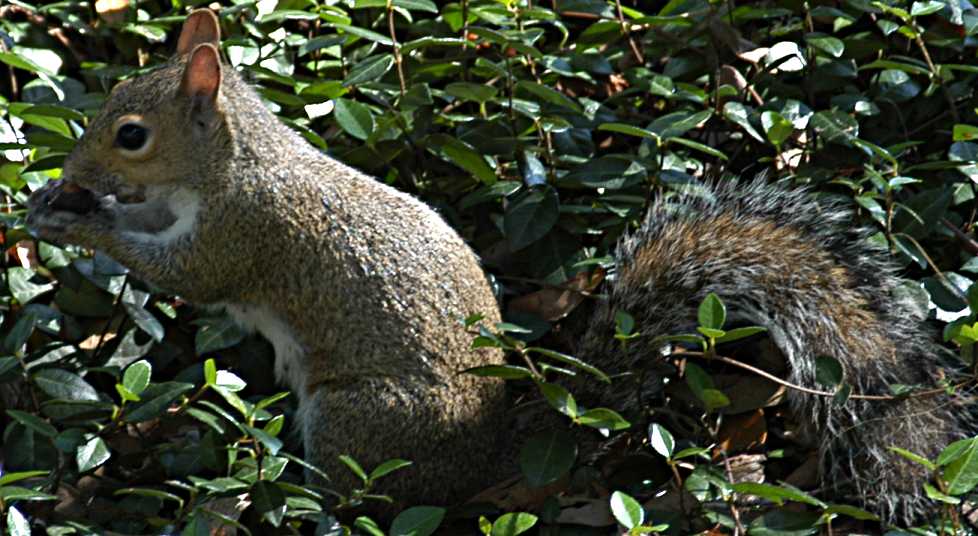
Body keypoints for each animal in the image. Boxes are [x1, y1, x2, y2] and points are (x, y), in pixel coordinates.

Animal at [26, 7, 964, 528]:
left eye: (131, 134)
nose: (73, 173)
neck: (234, 162)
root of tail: (487, 463)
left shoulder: (246, 233)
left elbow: (188, 276)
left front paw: (80, 223)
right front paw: (55, 201)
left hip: (355, 422)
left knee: (372, 498)